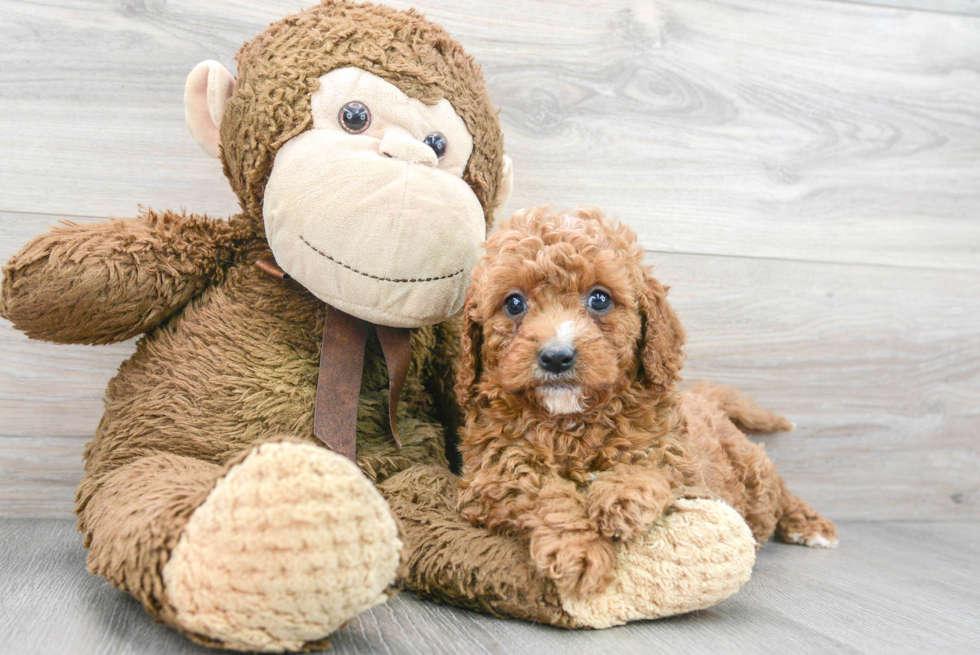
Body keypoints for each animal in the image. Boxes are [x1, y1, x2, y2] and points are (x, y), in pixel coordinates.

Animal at [456, 208, 840, 604]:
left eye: (599, 299)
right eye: (514, 303)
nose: (557, 356)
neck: (572, 421)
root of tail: (706, 398)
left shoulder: (678, 459)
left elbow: (650, 464)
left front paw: (622, 499)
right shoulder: (492, 475)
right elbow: (544, 494)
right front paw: (579, 553)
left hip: (750, 470)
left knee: (777, 488)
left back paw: (809, 524)